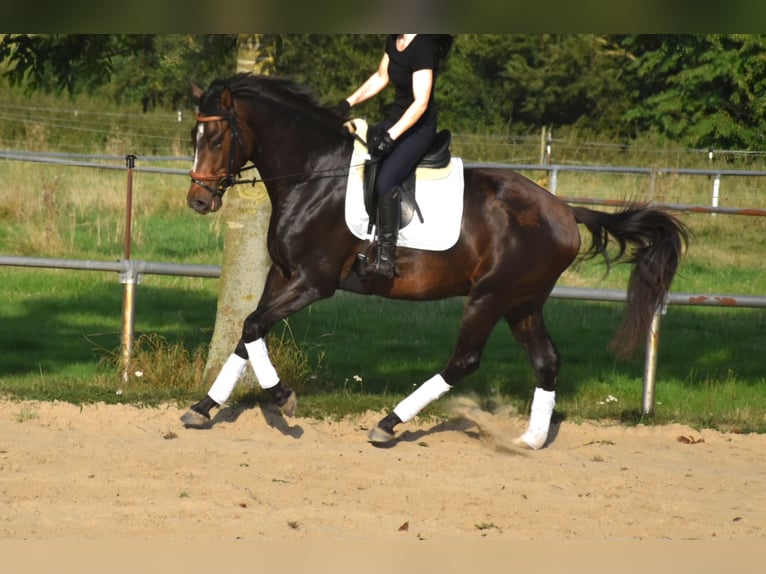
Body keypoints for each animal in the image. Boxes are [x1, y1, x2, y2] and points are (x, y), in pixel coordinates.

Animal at [182, 72, 688, 450]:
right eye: (194, 135)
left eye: (217, 137)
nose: (199, 201)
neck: (314, 174)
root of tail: (564, 211)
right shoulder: (282, 274)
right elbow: (248, 331)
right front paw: (205, 408)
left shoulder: (311, 281)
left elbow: (252, 327)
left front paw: (283, 397)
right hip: (523, 303)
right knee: (546, 361)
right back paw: (529, 440)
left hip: (490, 296)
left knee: (464, 360)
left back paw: (389, 423)